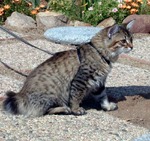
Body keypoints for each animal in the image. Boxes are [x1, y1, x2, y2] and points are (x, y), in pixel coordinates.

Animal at [2, 20, 135, 117]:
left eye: (131, 39)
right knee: (43, 111)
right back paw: (65, 109)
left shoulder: (99, 82)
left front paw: (107, 107)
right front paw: (76, 109)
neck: (99, 53)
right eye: (123, 41)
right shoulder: (81, 80)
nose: (132, 47)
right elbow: (76, 97)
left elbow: (103, 96)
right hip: (51, 95)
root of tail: (21, 95)